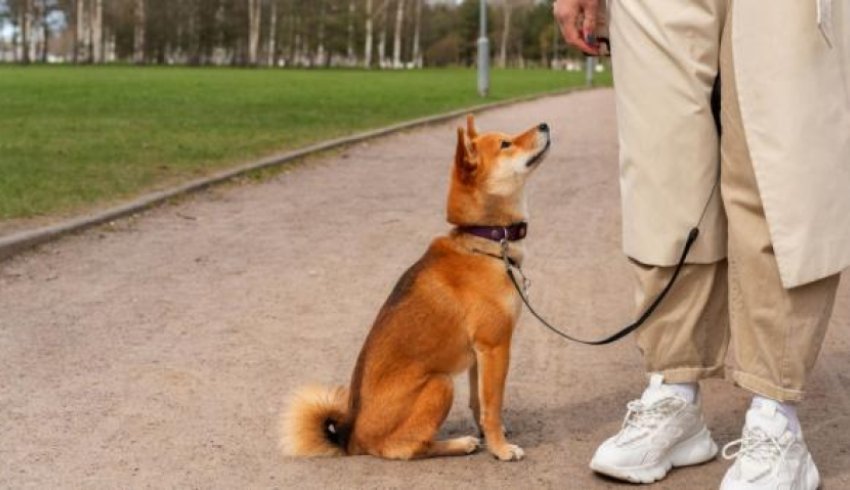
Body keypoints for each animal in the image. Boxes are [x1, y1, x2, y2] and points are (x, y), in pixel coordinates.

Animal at [284, 114, 548, 460]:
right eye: (506, 144)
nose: (544, 125)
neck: (486, 242)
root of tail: (352, 439)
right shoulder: (495, 346)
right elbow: (492, 406)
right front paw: (500, 448)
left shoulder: (478, 355)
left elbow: (479, 403)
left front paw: (492, 435)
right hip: (440, 383)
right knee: (407, 447)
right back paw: (458, 444)